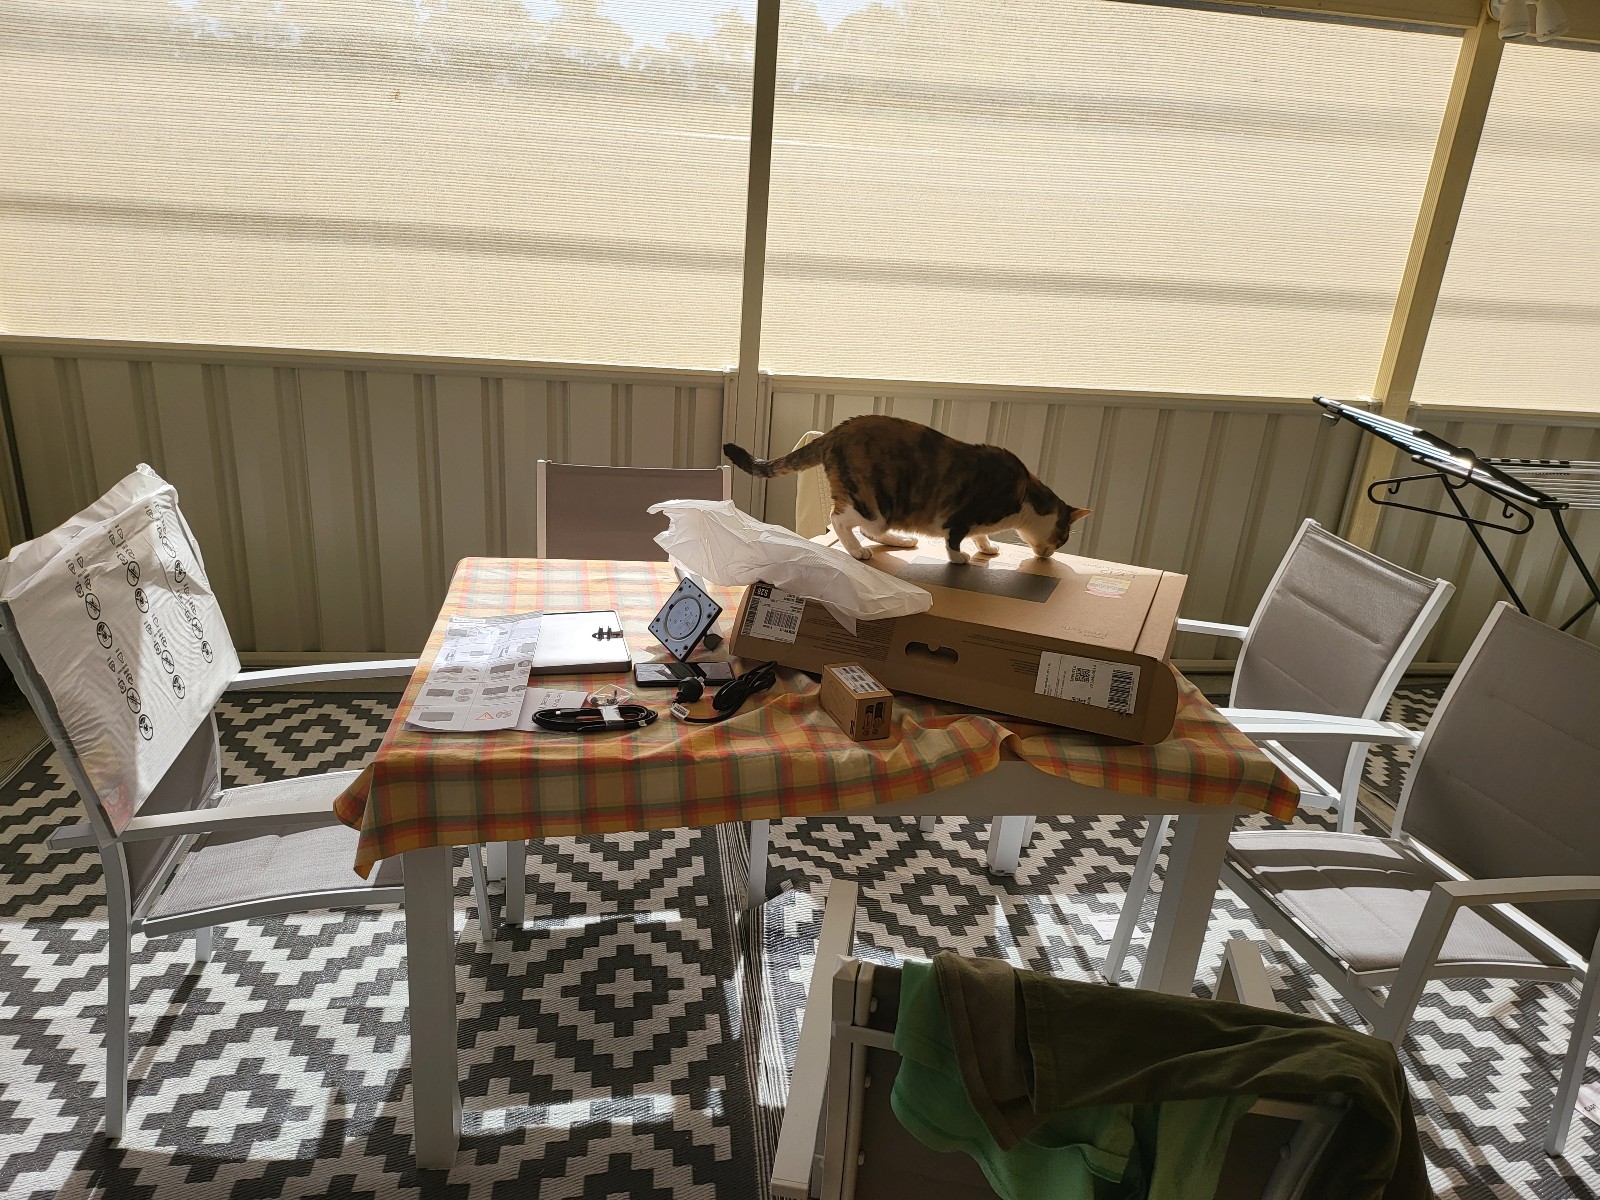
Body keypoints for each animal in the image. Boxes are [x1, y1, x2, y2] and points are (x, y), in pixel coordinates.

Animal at [724, 415, 1091, 565]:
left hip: (880, 509)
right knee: (840, 520)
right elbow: (956, 539)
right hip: (872, 504)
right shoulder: (962, 516)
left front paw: (987, 547)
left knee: (867, 529)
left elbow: (981, 535)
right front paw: (961, 558)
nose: (1050, 555)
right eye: (1064, 538)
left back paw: (902, 540)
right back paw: (857, 551)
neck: (1025, 497)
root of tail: (836, 431)